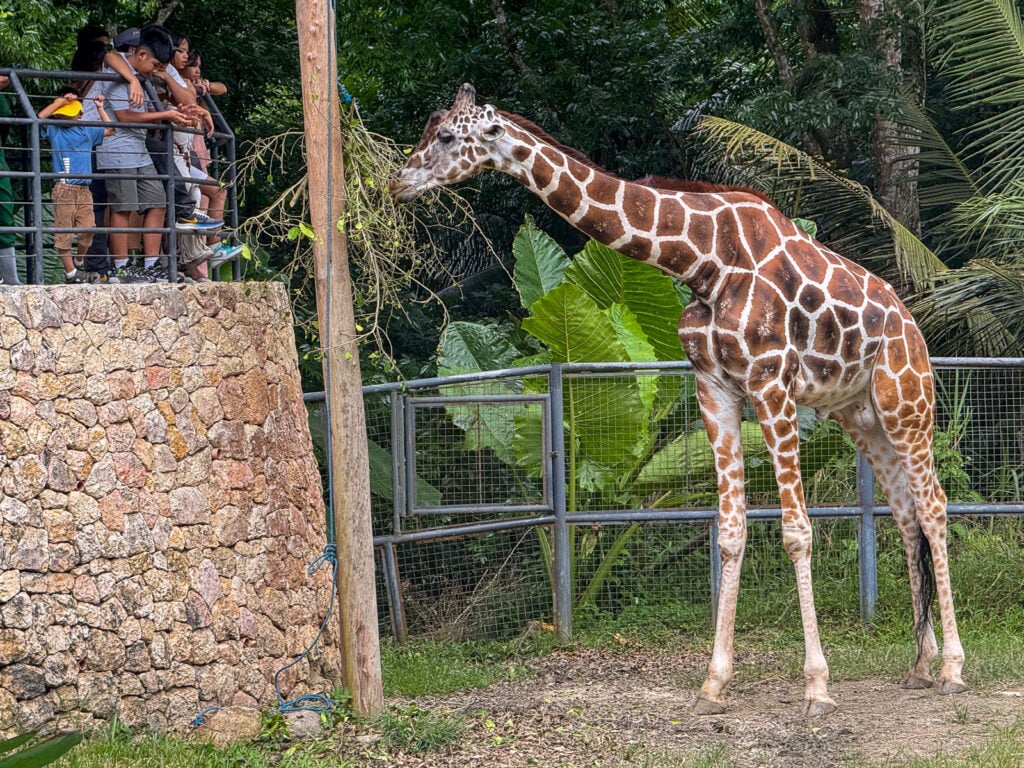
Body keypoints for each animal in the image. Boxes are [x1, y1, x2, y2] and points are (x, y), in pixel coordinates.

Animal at [390, 84, 966, 716]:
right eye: (429, 127)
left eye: (447, 136)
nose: (397, 182)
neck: (703, 263)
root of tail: (913, 325)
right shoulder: (714, 389)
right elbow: (731, 533)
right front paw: (715, 682)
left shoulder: (771, 384)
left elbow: (796, 532)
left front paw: (817, 685)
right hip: (861, 417)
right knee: (906, 513)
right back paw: (920, 664)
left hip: (907, 402)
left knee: (935, 507)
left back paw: (953, 669)